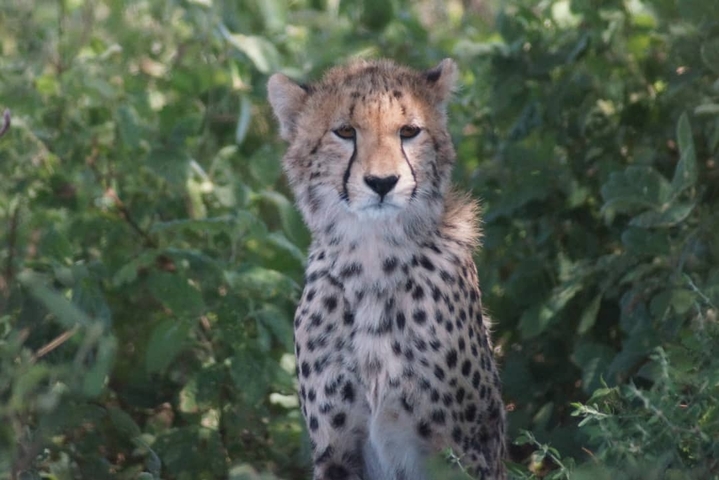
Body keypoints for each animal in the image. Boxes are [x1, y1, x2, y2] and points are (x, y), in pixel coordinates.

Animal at [267, 58, 506, 480]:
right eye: (345, 131)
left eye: (408, 131)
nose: (382, 182)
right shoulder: (336, 449)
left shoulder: (463, 449)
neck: (372, 255)